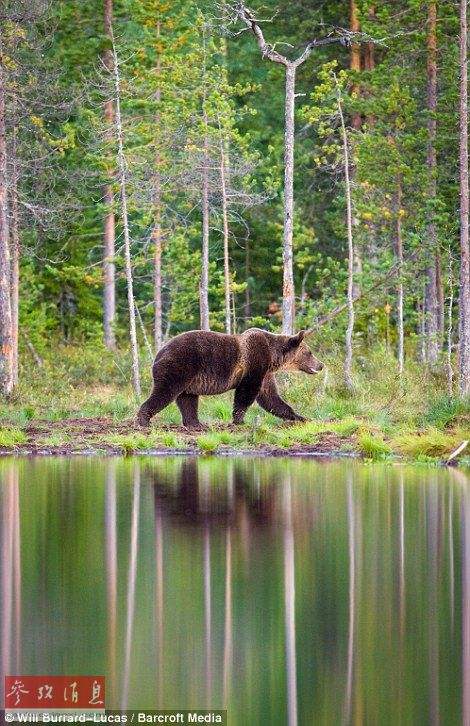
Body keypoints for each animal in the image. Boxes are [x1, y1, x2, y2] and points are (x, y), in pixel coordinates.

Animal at [136, 328, 324, 430]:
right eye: (309, 353)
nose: (321, 365)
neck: (273, 356)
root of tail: (158, 352)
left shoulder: (266, 373)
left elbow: (271, 398)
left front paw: (301, 417)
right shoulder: (255, 361)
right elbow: (247, 393)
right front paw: (239, 420)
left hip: (189, 379)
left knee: (187, 400)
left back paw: (196, 424)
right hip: (179, 366)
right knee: (165, 392)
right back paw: (144, 421)